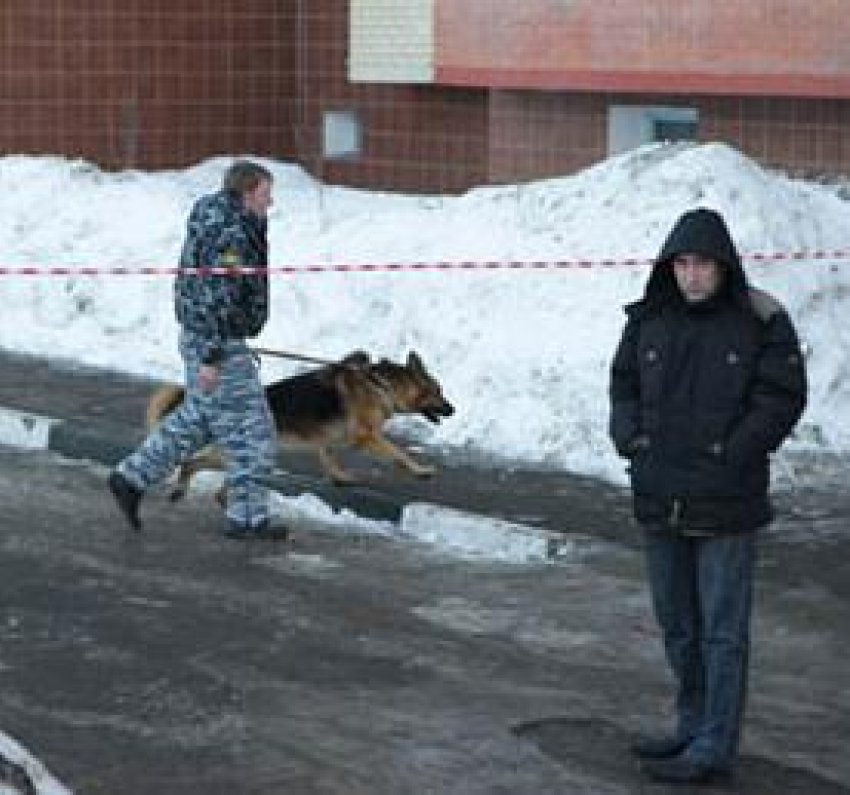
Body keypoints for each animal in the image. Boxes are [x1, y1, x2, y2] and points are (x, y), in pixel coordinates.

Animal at [147, 350, 450, 504]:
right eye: (438, 392)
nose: (453, 409)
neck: (383, 386)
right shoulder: (366, 437)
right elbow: (399, 454)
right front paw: (421, 470)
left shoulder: (330, 438)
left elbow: (328, 456)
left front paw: (340, 477)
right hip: (236, 454)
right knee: (193, 463)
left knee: (199, 466)